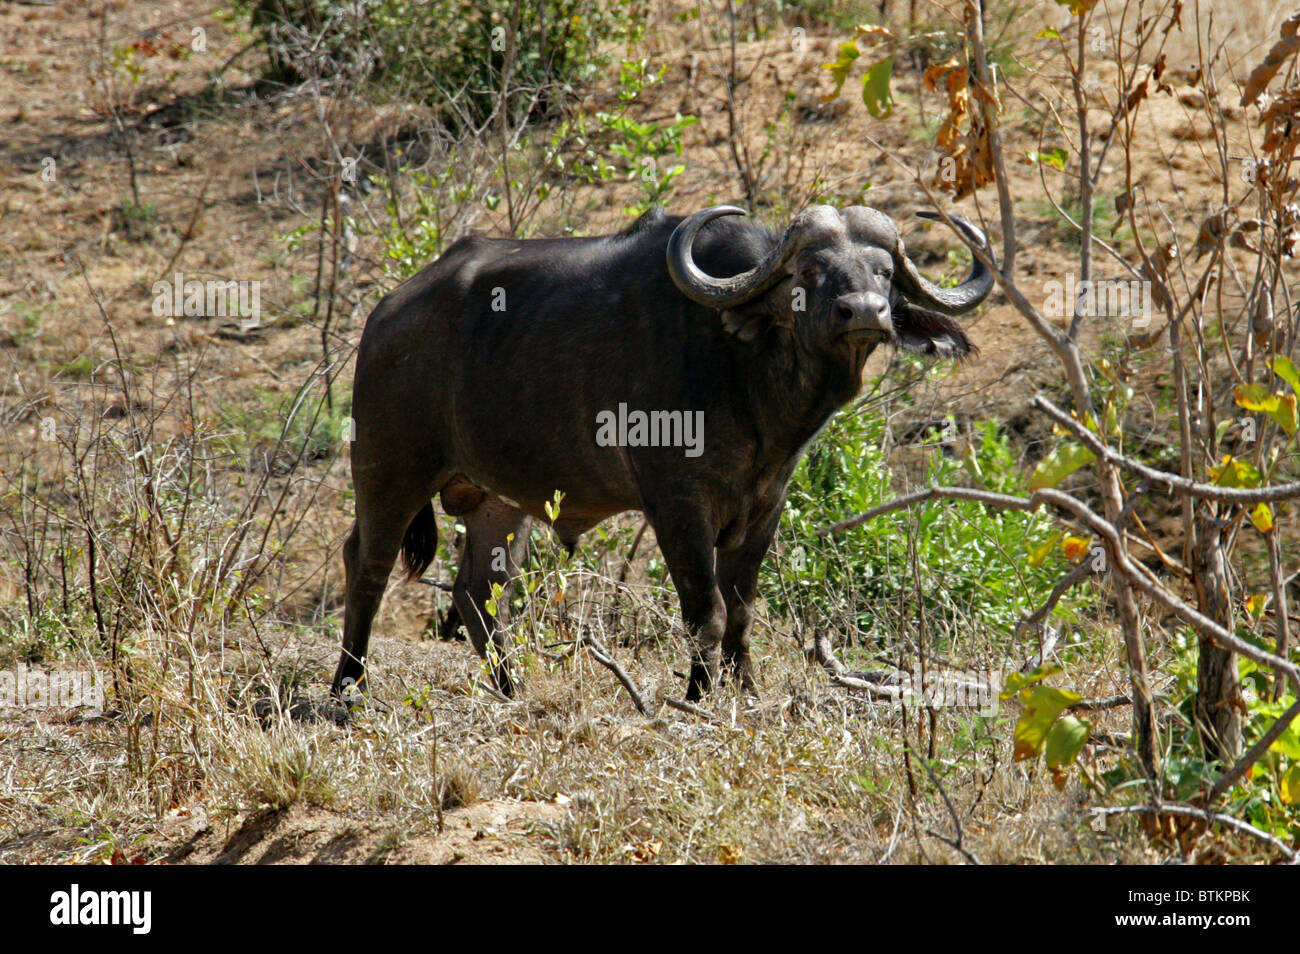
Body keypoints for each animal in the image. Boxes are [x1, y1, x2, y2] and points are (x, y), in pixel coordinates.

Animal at [330, 205, 987, 707]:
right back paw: (347, 689)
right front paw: (699, 696)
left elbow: (742, 611)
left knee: (479, 593)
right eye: (810, 271)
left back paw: (509, 690)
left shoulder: (767, 504)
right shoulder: (676, 504)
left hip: (499, 500)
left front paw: (747, 691)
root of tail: (385, 315)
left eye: (885, 272)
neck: (745, 376)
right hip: (390, 469)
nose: (866, 312)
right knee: (368, 565)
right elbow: (706, 609)